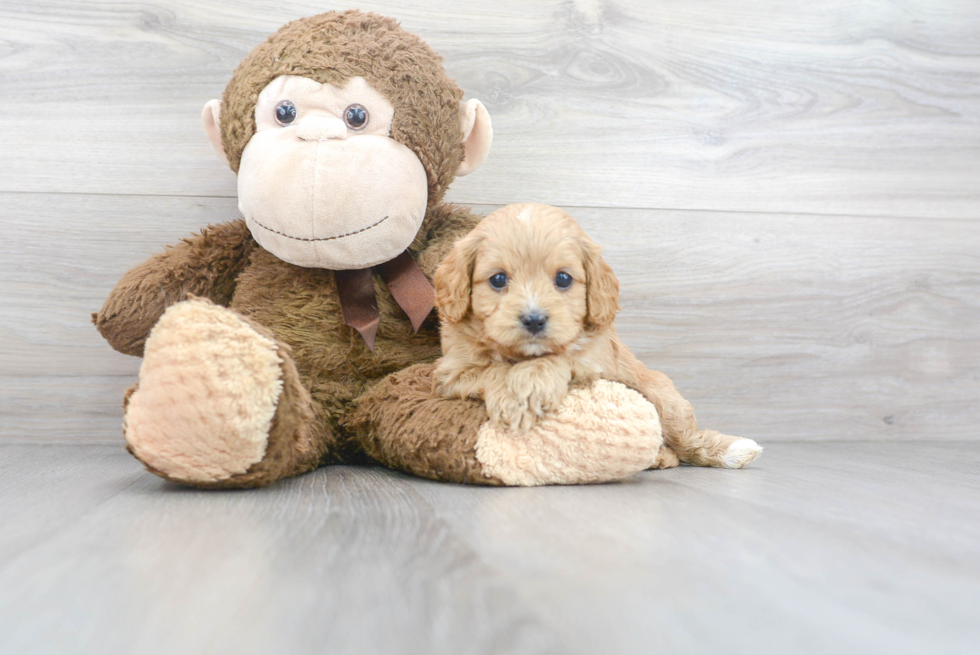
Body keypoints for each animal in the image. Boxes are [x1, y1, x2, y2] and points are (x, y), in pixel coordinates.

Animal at [432, 202, 760, 468]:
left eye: (563, 278)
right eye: (498, 279)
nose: (534, 320)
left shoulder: (596, 362)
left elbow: (561, 357)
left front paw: (532, 384)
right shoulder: (453, 373)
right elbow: (493, 370)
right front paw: (517, 397)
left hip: (665, 398)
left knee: (685, 439)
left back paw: (727, 451)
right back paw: (659, 457)